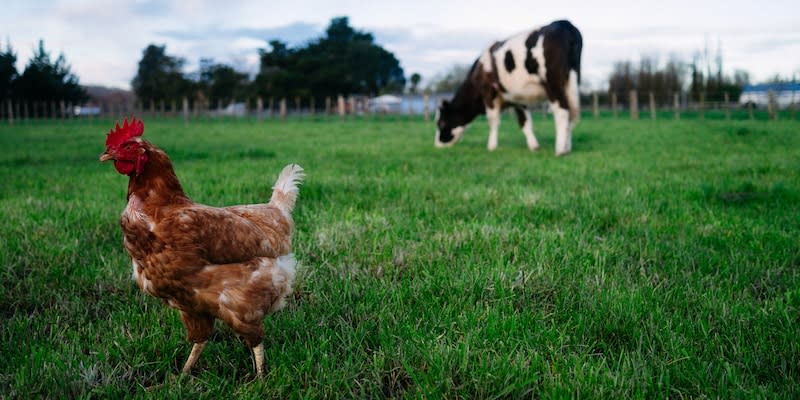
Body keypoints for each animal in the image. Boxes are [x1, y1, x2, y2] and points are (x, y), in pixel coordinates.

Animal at [434, 19, 584, 156]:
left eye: (441, 123)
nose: (437, 144)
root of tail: (564, 23)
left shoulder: (489, 92)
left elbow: (493, 120)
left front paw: (491, 147)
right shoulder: (518, 98)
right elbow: (525, 122)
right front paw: (534, 146)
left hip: (553, 83)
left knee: (562, 111)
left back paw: (560, 150)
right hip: (571, 82)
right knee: (571, 113)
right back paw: (567, 148)